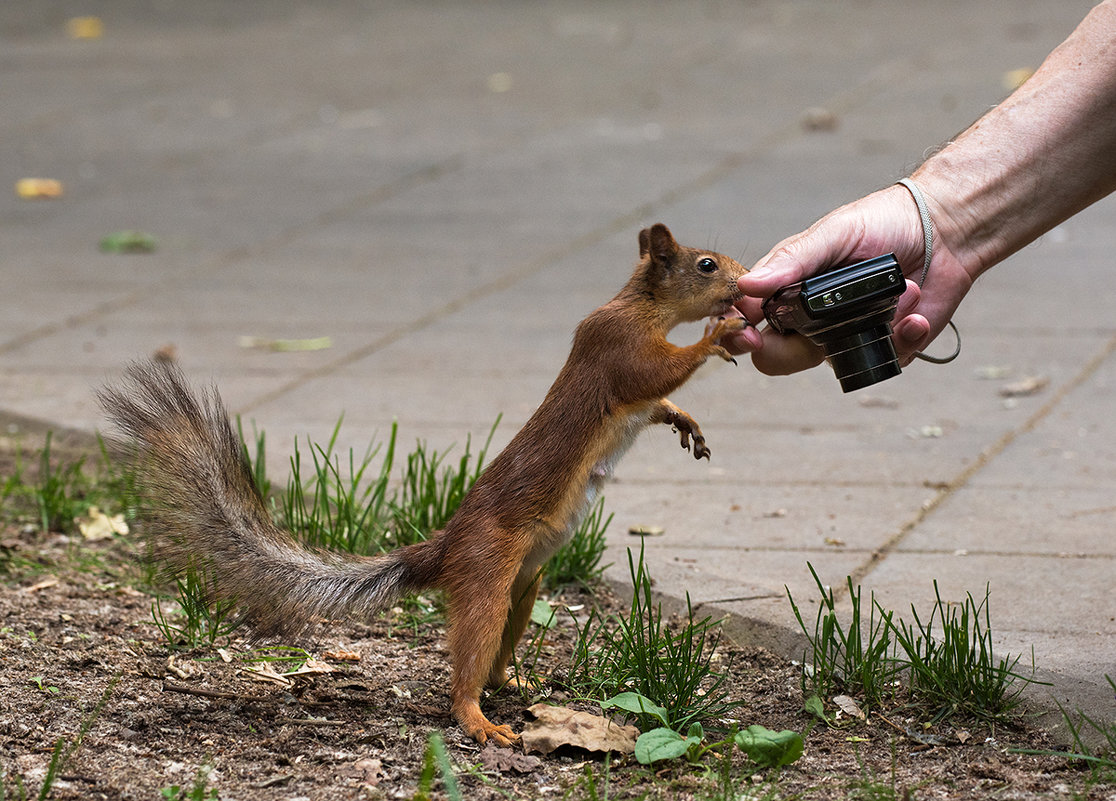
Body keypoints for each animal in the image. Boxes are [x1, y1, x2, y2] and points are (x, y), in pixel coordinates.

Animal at [102, 224, 749, 745]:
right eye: (706, 264)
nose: (744, 282)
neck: (642, 304)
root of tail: (446, 548)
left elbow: (659, 399)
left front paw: (686, 422)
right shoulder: (619, 347)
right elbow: (657, 373)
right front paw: (717, 335)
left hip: (525, 586)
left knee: (495, 658)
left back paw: (516, 681)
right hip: (487, 576)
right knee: (466, 670)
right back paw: (478, 720)